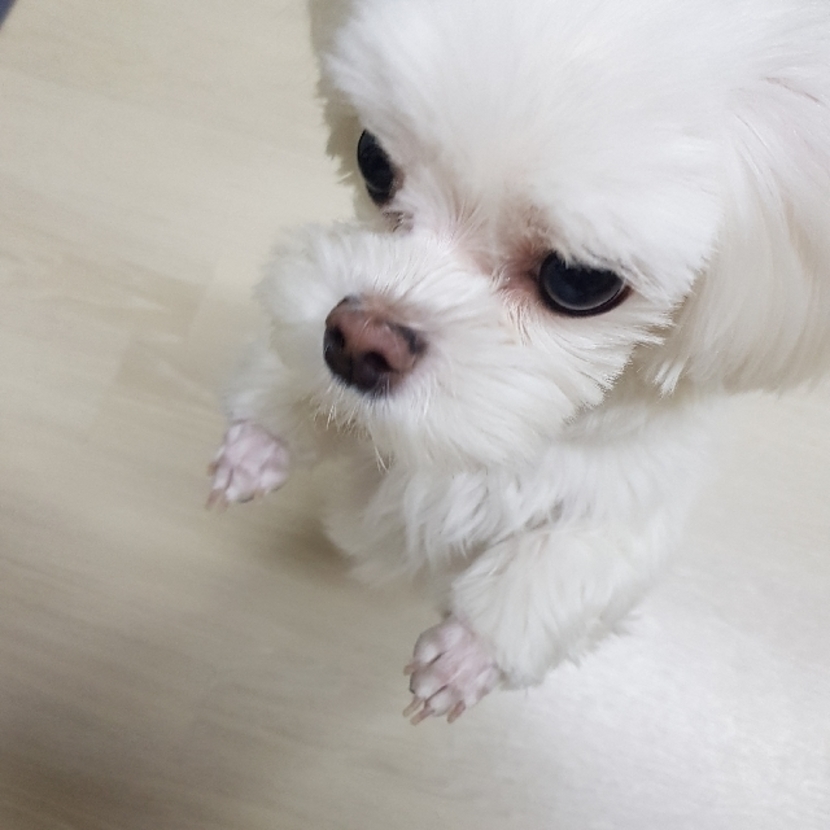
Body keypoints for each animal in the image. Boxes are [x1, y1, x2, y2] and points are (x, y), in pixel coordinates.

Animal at [209, 0, 830, 724]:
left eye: (579, 281)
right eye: (373, 160)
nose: (361, 341)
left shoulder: (635, 498)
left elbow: (563, 565)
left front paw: (465, 655)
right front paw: (259, 441)